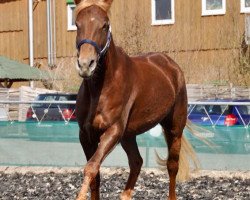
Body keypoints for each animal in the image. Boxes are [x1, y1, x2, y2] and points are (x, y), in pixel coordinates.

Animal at [74, 0, 197, 200]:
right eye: (77, 24)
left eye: (105, 25)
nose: (86, 65)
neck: (100, 88)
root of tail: (171, 65)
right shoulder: (86, 135)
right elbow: (95, 176)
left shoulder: (113, 130)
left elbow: (91, 167)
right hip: (128, 135)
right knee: (137, 162)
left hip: (174, 129)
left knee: (172, 166)